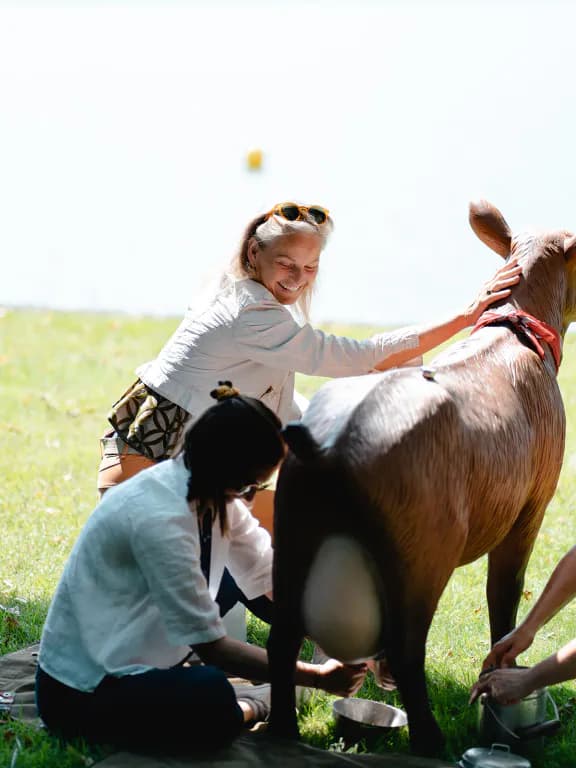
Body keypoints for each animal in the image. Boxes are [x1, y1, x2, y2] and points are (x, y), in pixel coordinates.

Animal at [268, 201, 576, 760]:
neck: (520, 339)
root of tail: (328, 448)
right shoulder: (531, 507)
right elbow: (505, 597)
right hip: (423, 549)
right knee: (409, 647)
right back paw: (430, 742)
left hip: (294, 528)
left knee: (283, 636)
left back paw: (284, 732)